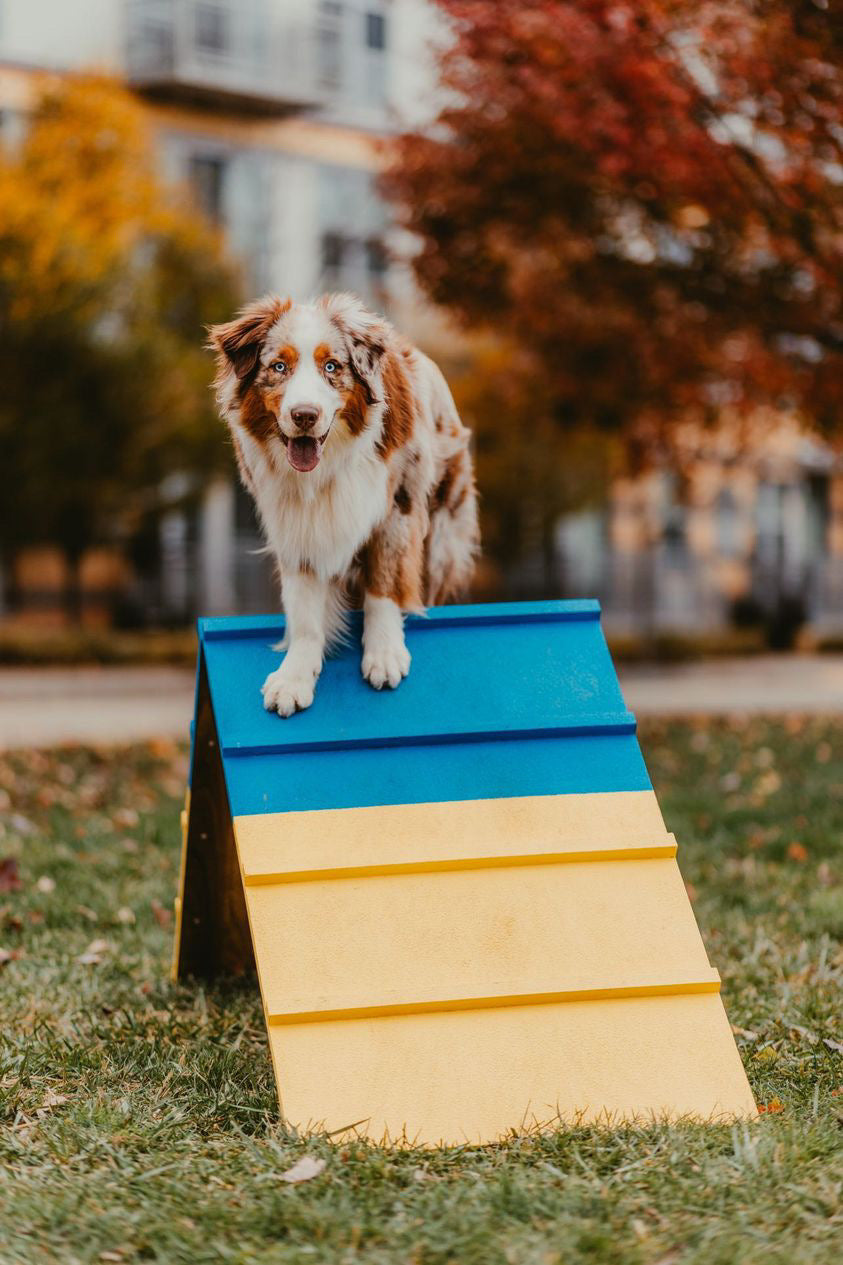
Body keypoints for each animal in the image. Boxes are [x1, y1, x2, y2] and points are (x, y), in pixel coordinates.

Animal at [207, 289, 475, 718]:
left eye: (331, 366)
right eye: (279, 366)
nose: (304, 415)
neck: (325, 466)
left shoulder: (396, 508)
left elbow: (384, 583)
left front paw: (384, 654)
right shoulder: (295, 525)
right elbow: (304, 613)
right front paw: (294, 677)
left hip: (441, 539)